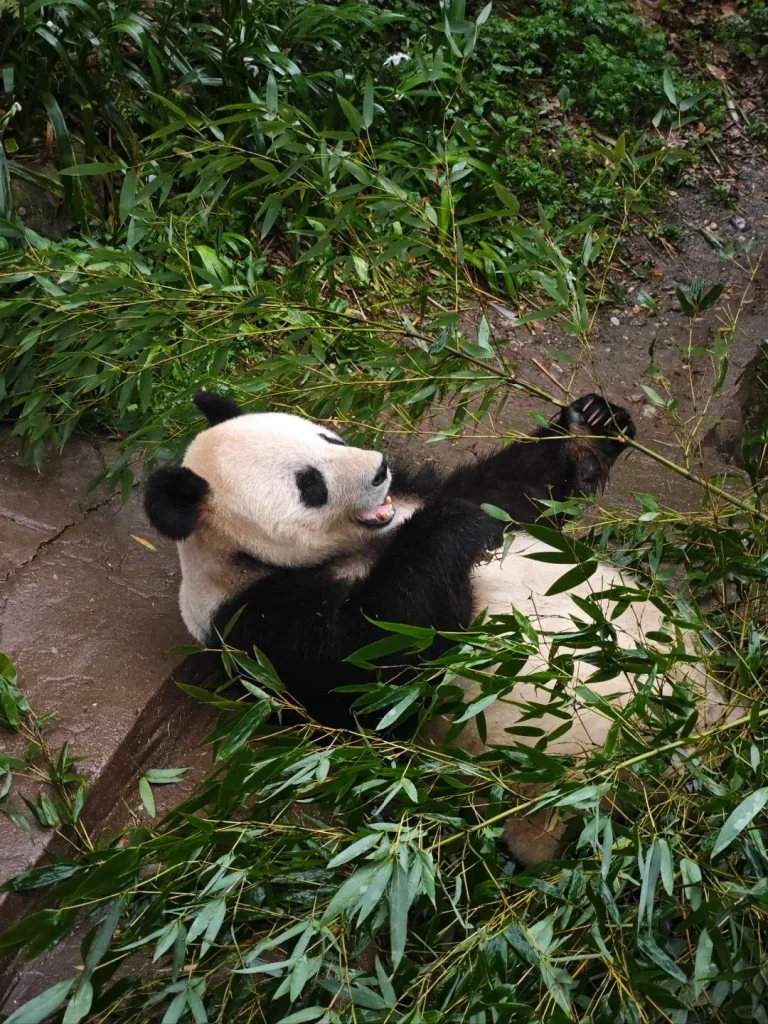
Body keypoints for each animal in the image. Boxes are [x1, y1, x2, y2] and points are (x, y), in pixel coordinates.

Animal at [145, 389, 734, 863]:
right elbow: (375, 659)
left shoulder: (418, 493)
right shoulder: (256, 626)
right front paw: (450, 524)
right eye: (309, 485)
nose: (379, 468)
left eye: (327, 436)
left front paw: (590, 423)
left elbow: (509, 494)